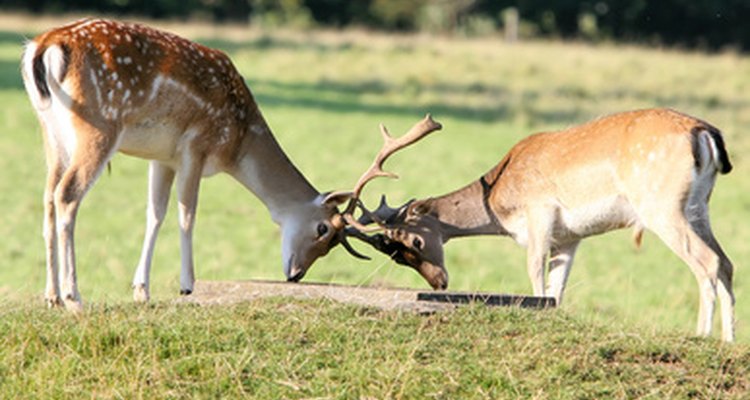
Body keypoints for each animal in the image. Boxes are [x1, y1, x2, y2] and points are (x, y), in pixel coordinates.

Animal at [20, 18, 444, 312]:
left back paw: (51, 296)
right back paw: (74, 296)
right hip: (99, 125)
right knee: (68, 195)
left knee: (46, 196)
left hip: (51, 133)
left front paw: (142, 290)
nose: (296, 275)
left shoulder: (162, 157)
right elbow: (187, 214)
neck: (237, 143)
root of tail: (45, 45)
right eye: (323, 229)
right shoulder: (196, 144)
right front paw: (187, 285)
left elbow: (154, 214)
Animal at [354, 108, 740, 340]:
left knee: (707, 261)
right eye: (396, 255)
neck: (501, 196)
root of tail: (705, 134)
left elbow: (535, 272)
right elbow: (558, 287)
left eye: (415, 242)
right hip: (698, 207)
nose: (439, 282)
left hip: (661, 206)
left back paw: (702, 335)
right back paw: (728, 339)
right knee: (726, 262)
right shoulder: (570, 238)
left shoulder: (539, 212)